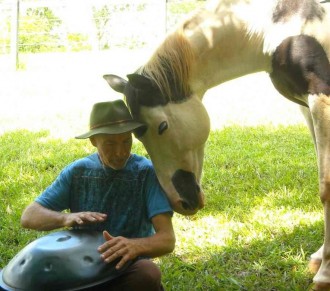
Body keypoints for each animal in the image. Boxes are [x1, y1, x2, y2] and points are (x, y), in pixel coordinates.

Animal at [104, 0, 330, 288]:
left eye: (162, 127)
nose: (180, 202)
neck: (284, 23)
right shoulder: (306, 107)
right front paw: (319, 258)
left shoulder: (321, 97)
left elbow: (326, 186)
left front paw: (325, 274)